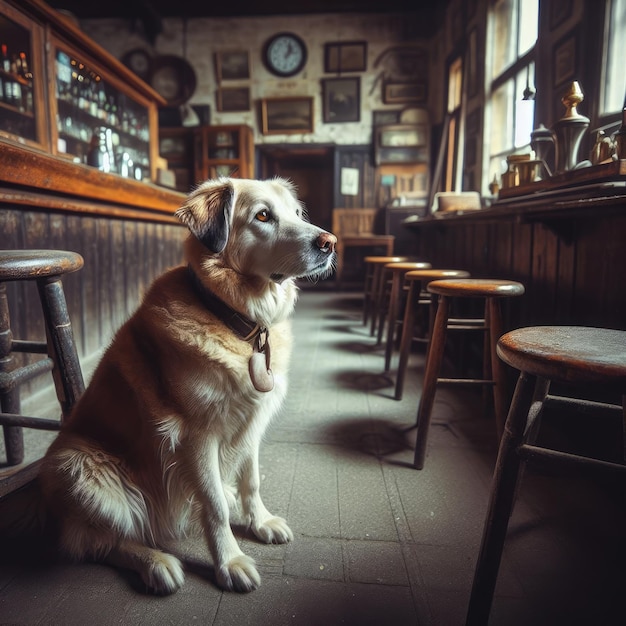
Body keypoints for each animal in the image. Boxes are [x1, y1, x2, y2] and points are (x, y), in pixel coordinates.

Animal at [39, 177, 336, 596]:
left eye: (296, 214)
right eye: (263, 216)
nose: (330, 242)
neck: (234, 320)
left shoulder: (251, 423)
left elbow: (252, 480)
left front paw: (259, 521)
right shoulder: (197, 436)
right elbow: (212, 505)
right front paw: (229, 562)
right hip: (77, 466)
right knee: (101, 542)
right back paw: (157, 564)